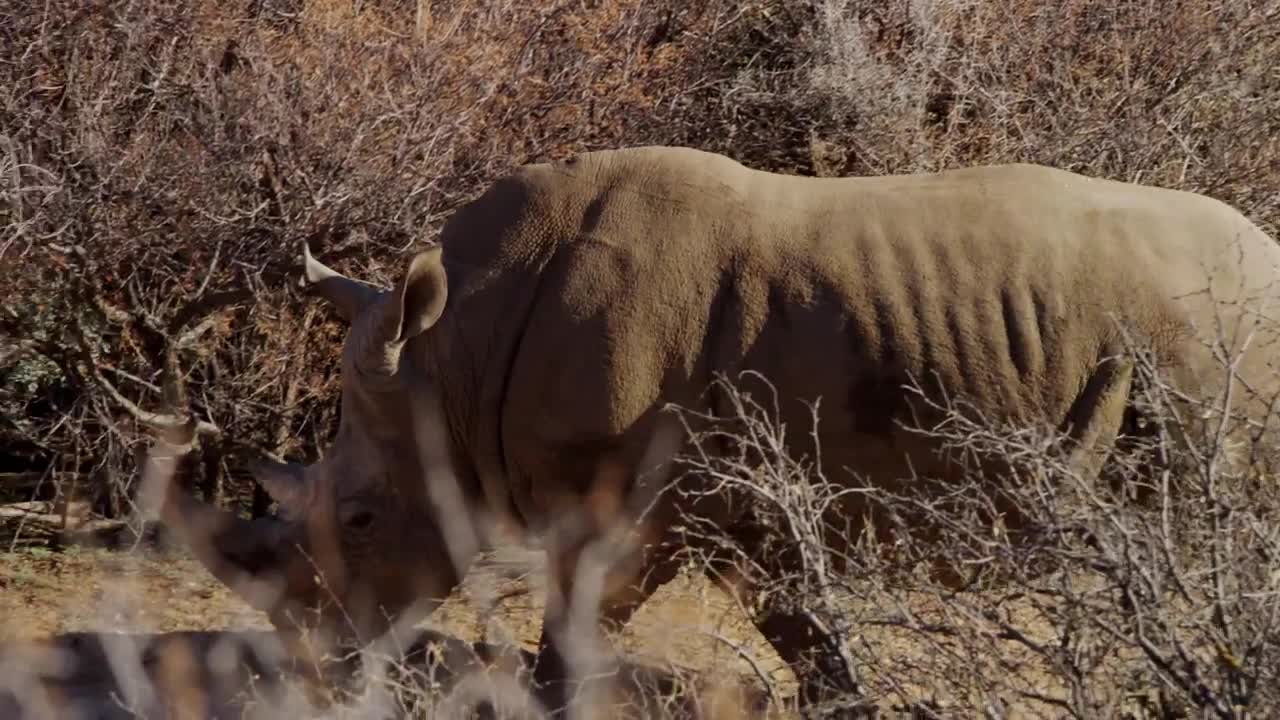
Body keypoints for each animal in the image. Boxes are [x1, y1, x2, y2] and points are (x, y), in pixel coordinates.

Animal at [154, 146, 1280, 714]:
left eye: (360, 518)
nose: (319, 668)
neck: (451, 358)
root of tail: (1268, 247)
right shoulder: (726, 499)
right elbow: (794, 627)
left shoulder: (624, 500)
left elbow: (579, 635)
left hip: (1215, 341)